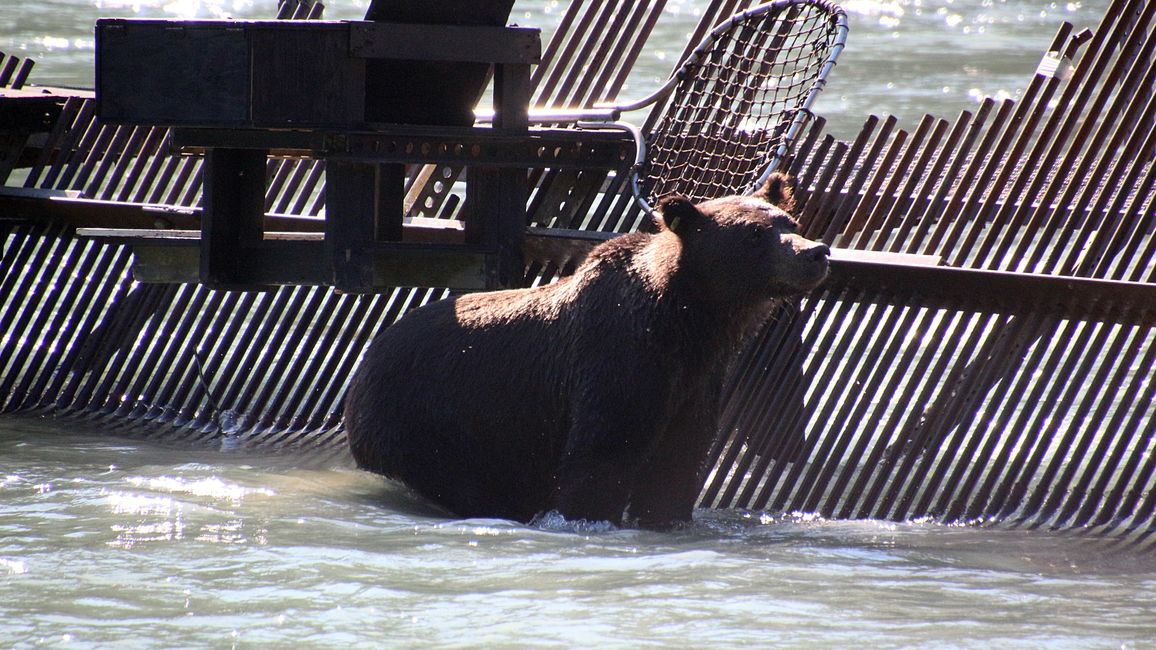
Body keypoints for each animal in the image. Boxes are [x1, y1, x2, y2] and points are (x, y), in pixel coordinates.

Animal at [342, 174, 832, 529]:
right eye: (752, 235)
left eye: (789, 223)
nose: (817, 252)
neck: (689, 322)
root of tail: (369, 353)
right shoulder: (618, 360)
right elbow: (601, 454)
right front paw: (591, 518)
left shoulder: (696, 381)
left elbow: (678, 461)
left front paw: (667, 518)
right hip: (427, 424)